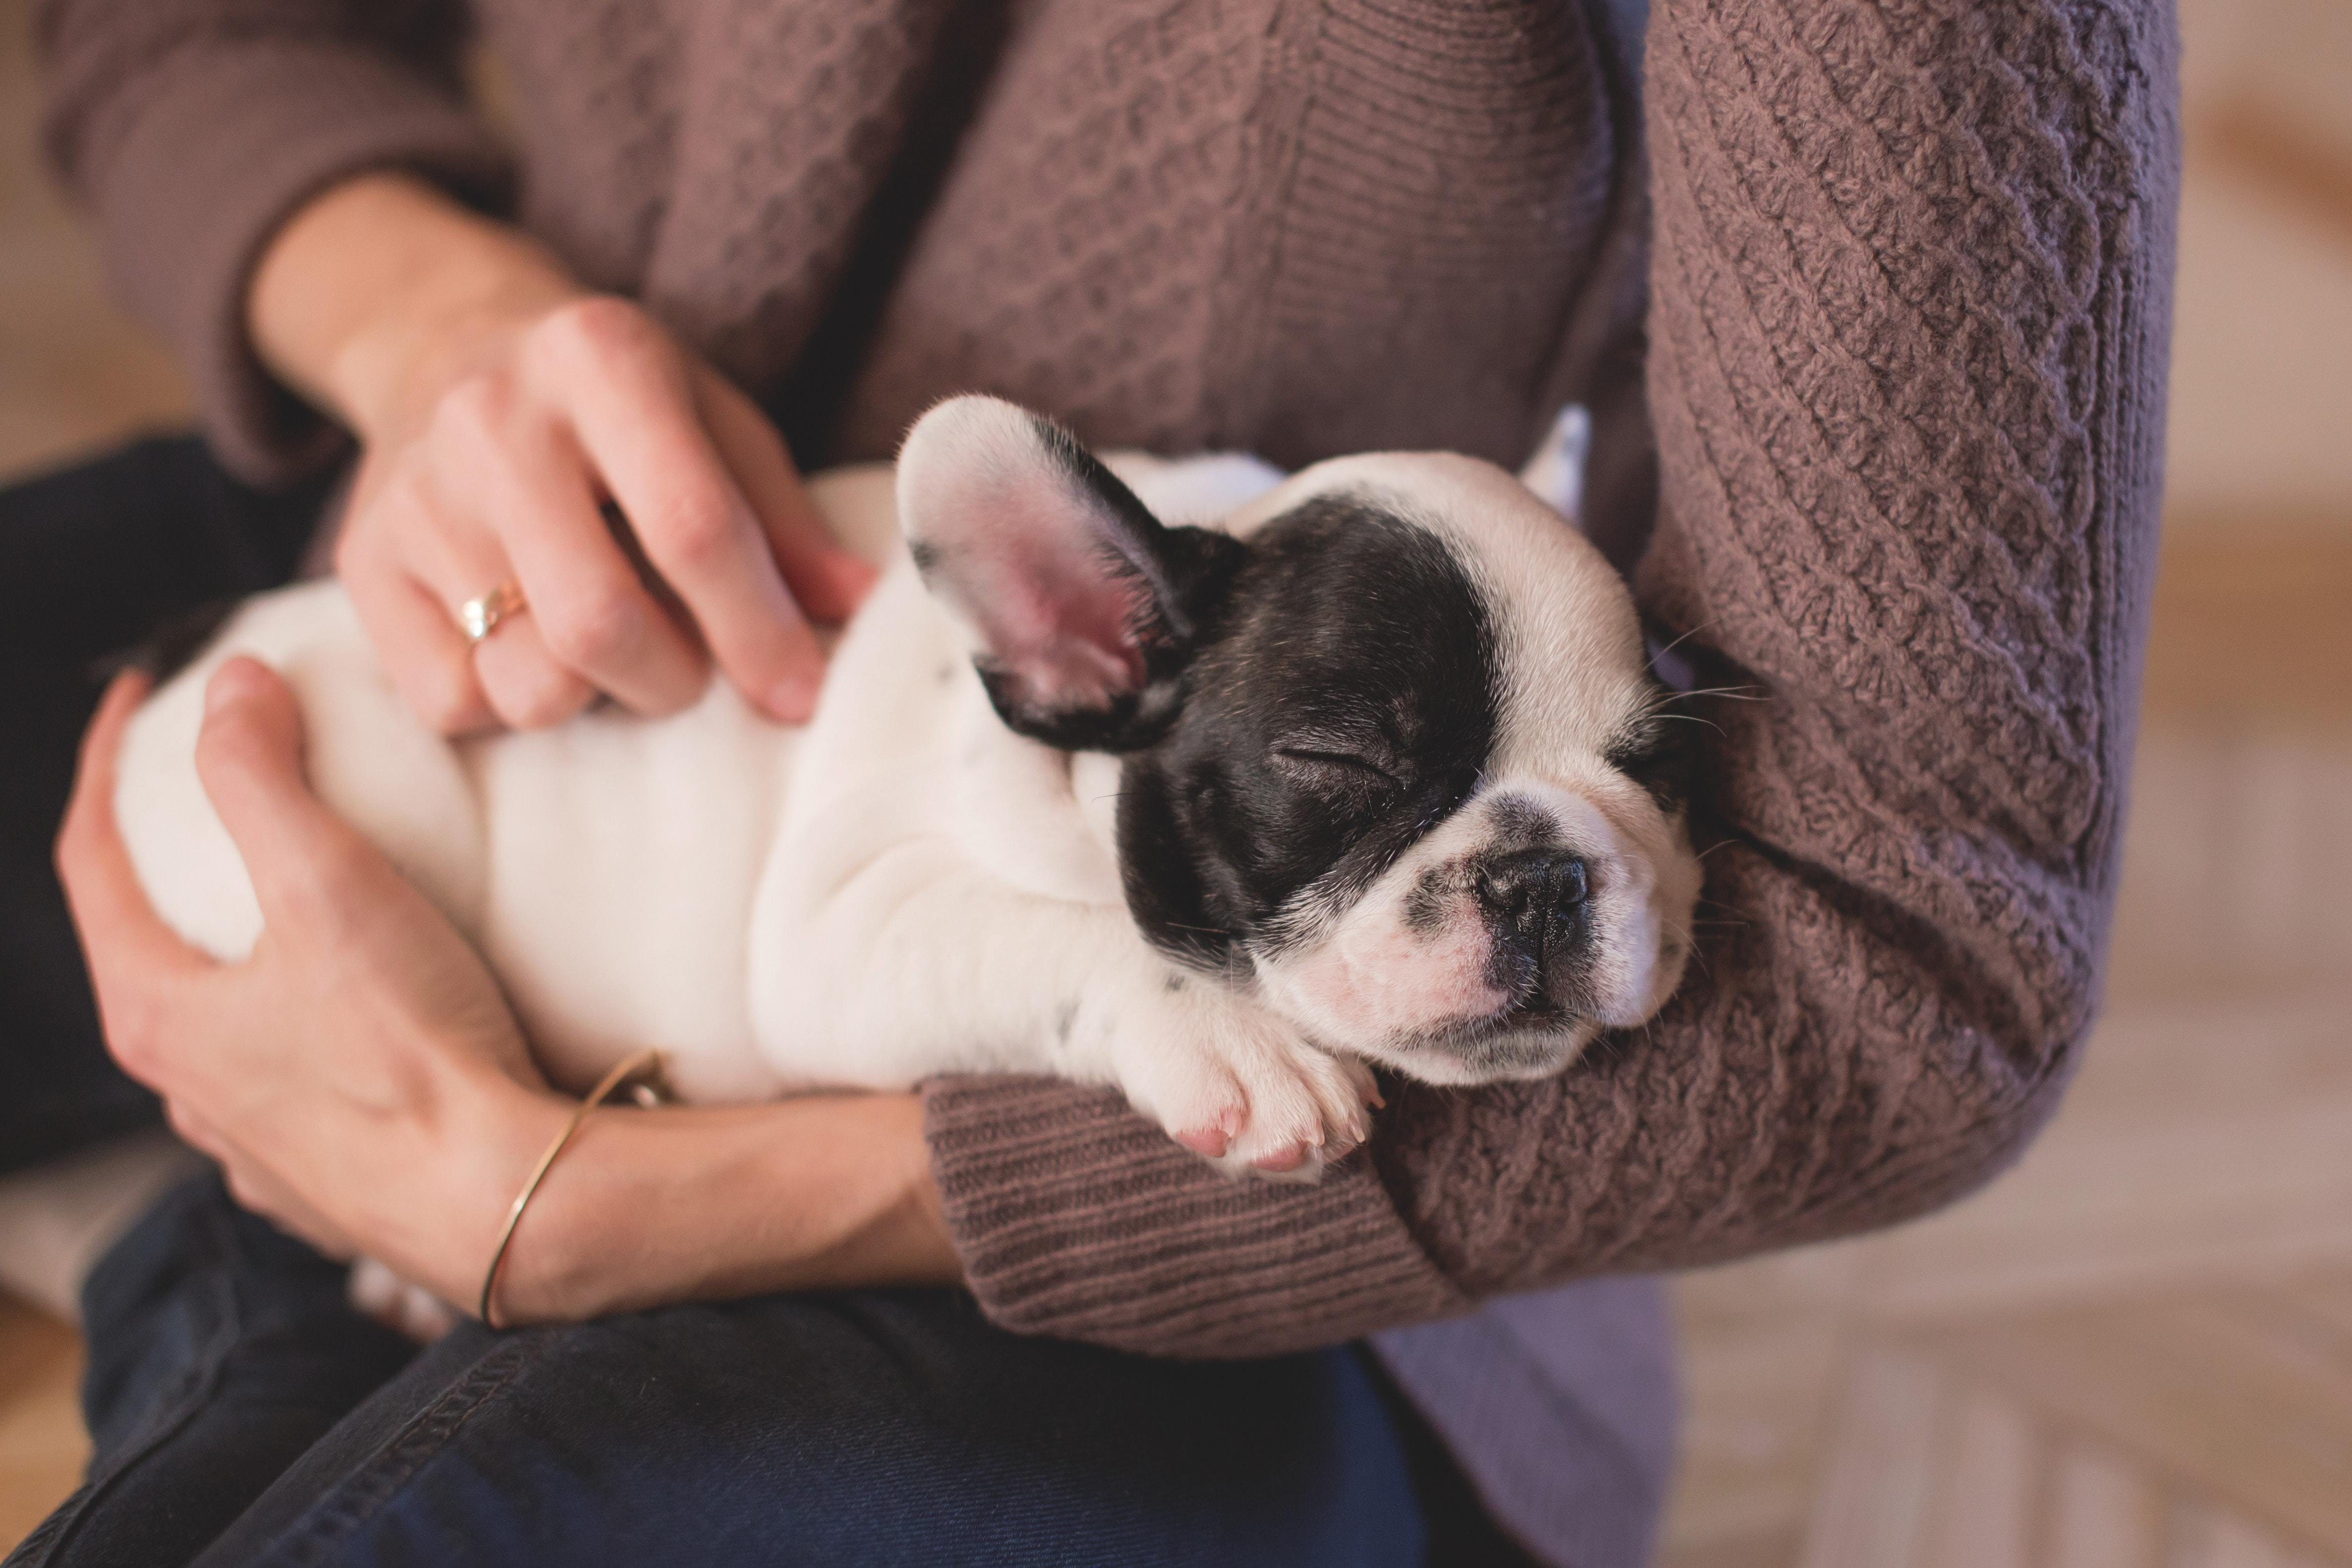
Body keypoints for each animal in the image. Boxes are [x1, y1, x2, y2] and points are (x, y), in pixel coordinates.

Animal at [114, 390, 1693, 1189]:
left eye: (1656, 766)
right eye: (1340, 763)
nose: (1545, 873)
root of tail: (182, 654)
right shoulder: (839, 926)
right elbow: (1068, 934)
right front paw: (1237, 1042)